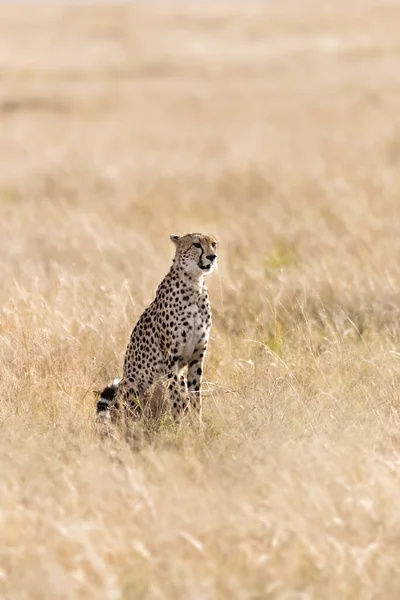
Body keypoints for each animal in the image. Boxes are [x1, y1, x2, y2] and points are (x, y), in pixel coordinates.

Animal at [97, 232, 219, 424]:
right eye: (196, 244)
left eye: (213, 244)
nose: (212, 257)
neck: (194, 284)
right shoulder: (172, 360)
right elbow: (177, 398)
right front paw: (179, 426)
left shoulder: (197, 357)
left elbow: (194, 397)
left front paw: (196, 425)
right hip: (130, 382)